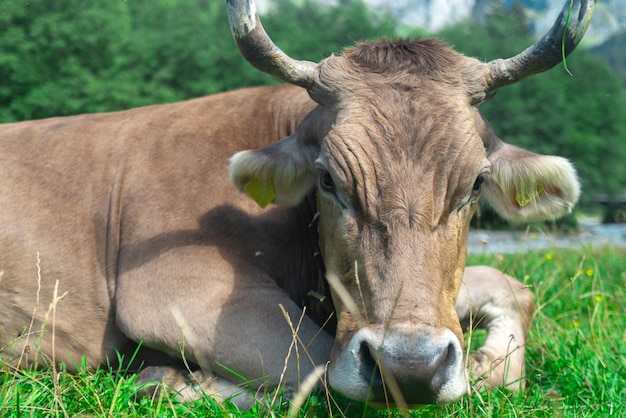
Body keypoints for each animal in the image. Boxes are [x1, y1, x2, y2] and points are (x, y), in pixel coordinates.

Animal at [0, 0, 588, 410]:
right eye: (327, 180)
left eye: (475, 184)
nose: (409, 366)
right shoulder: (170, 288)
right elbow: (316, 367)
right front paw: (170, 382)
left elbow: (512, 290)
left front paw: (484, 362)